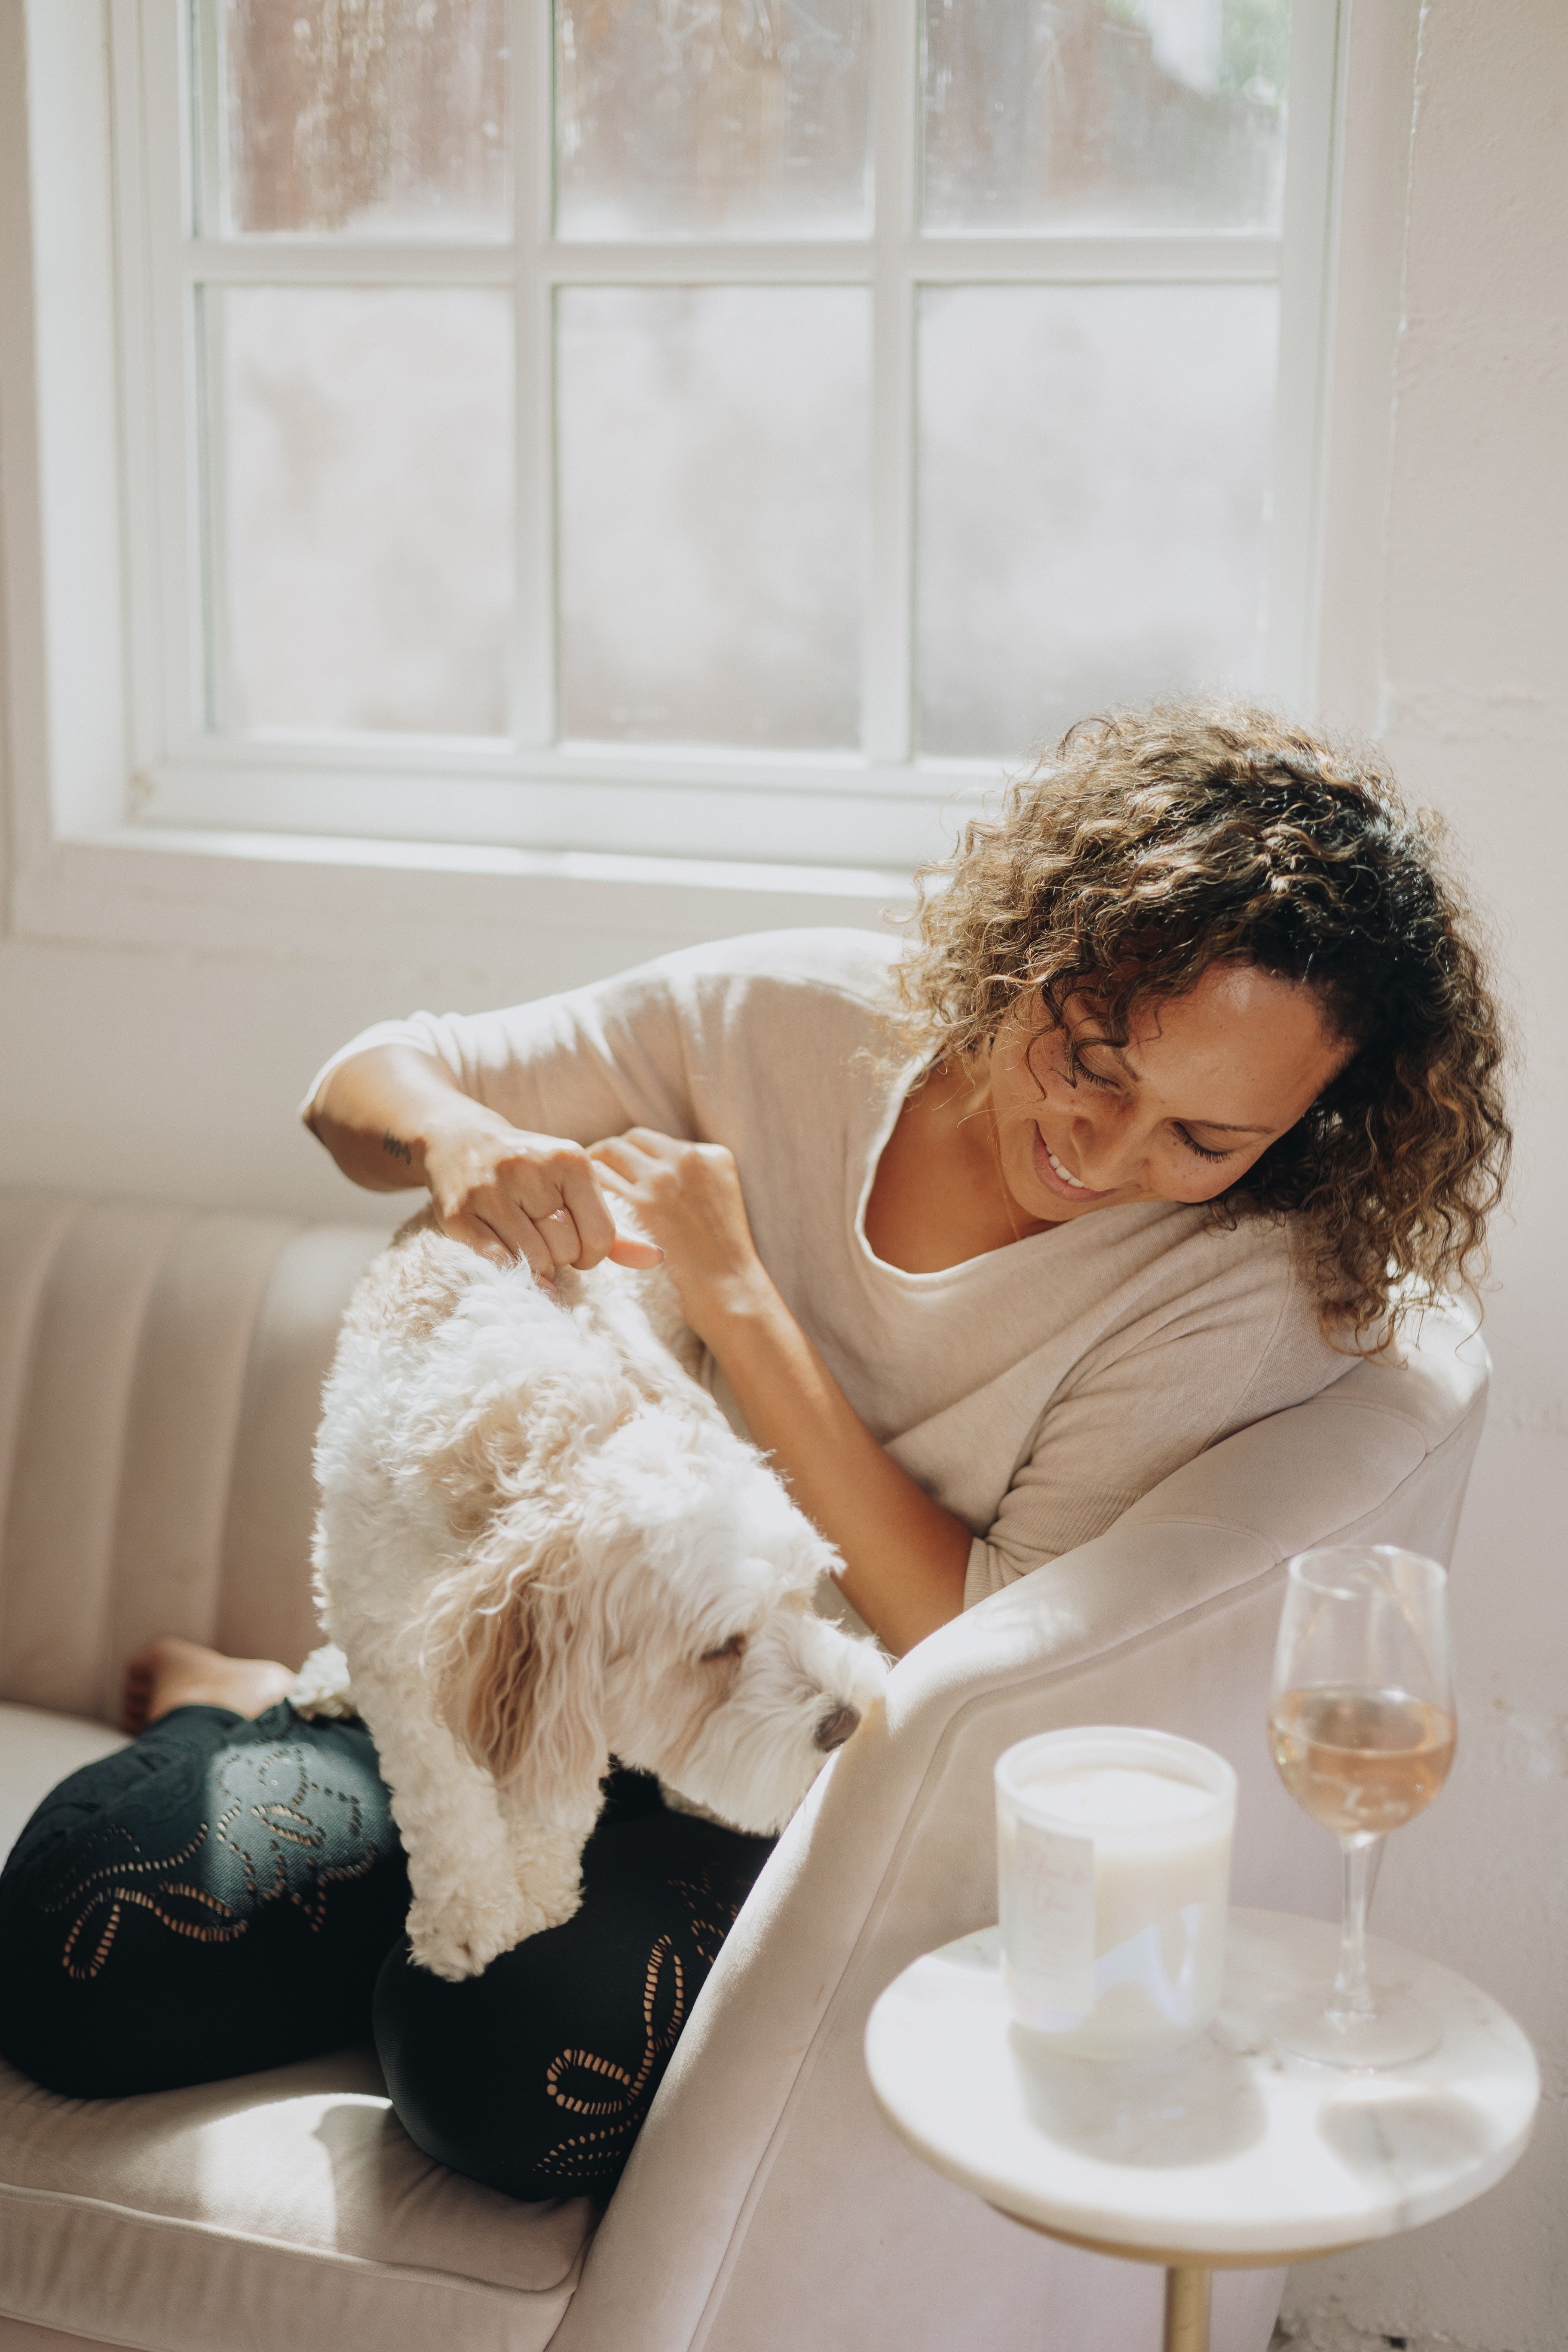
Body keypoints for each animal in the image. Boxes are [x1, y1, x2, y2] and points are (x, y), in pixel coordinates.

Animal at [288, 1223, 888, 1975]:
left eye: (803, 1598)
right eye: (719, 1649)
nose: (846, 1722)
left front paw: (539, 1888)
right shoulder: (392, 1643)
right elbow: (442, 1794)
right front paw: (469, 1913)